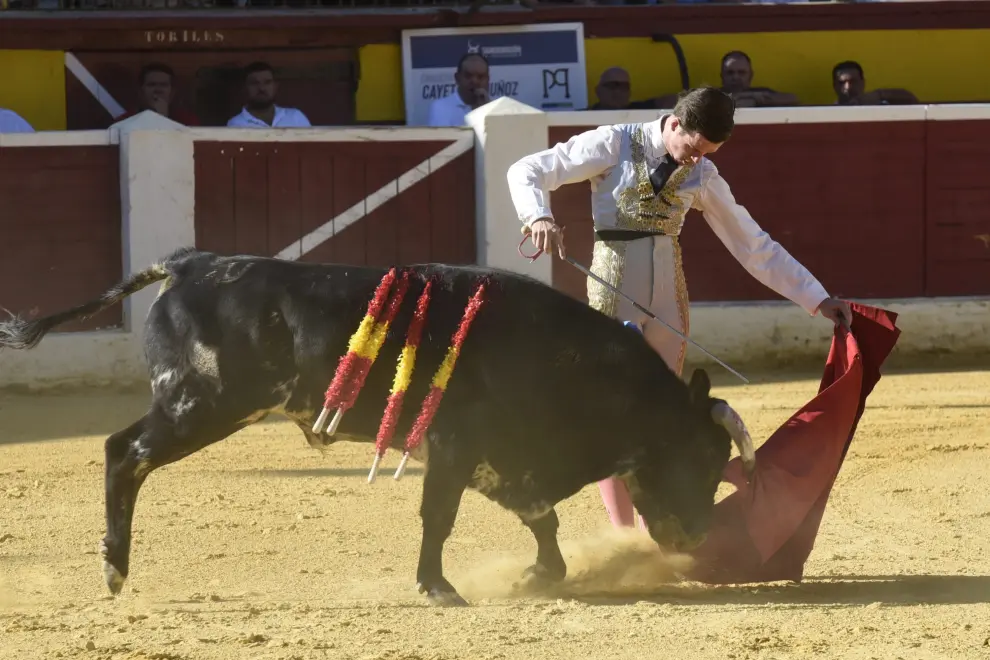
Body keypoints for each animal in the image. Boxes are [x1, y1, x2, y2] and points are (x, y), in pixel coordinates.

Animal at [0, 249, 756, 608]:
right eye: (701, 455)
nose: (698, 536)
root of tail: (190, 263)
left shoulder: (501, 460)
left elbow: (540, 518)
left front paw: (542, 574)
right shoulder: (455, 449)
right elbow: (440, 518)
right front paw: (438, 588)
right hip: (202, 403)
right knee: (122, 452)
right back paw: (113, 568)